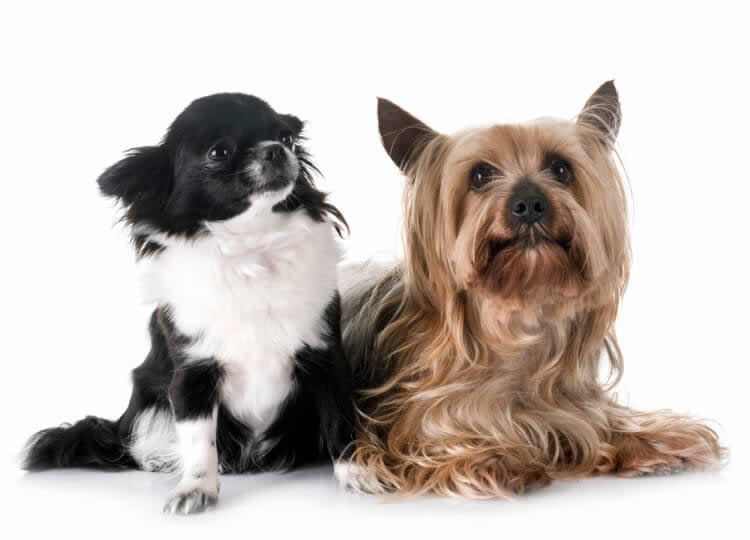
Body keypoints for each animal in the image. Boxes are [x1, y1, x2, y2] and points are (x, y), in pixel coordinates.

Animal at [22, 93, 354, 516]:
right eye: (219, 152)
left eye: (287, 138)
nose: (277, 150)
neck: (251, 246)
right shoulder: (192, 374)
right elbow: (199, 440)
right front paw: (196, 487)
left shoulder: (326, 358)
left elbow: (342, 420)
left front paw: (358, 472)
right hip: (148, 395)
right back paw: (160, 458)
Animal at [340, 81, 728, 498]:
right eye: (480, 175)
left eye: (560, 168)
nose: (529, 203)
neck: (520, 308)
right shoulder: (423, 417)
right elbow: (442, 440)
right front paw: (492, 457)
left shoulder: (574, 403)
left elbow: (604, 422)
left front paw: (659, 441)